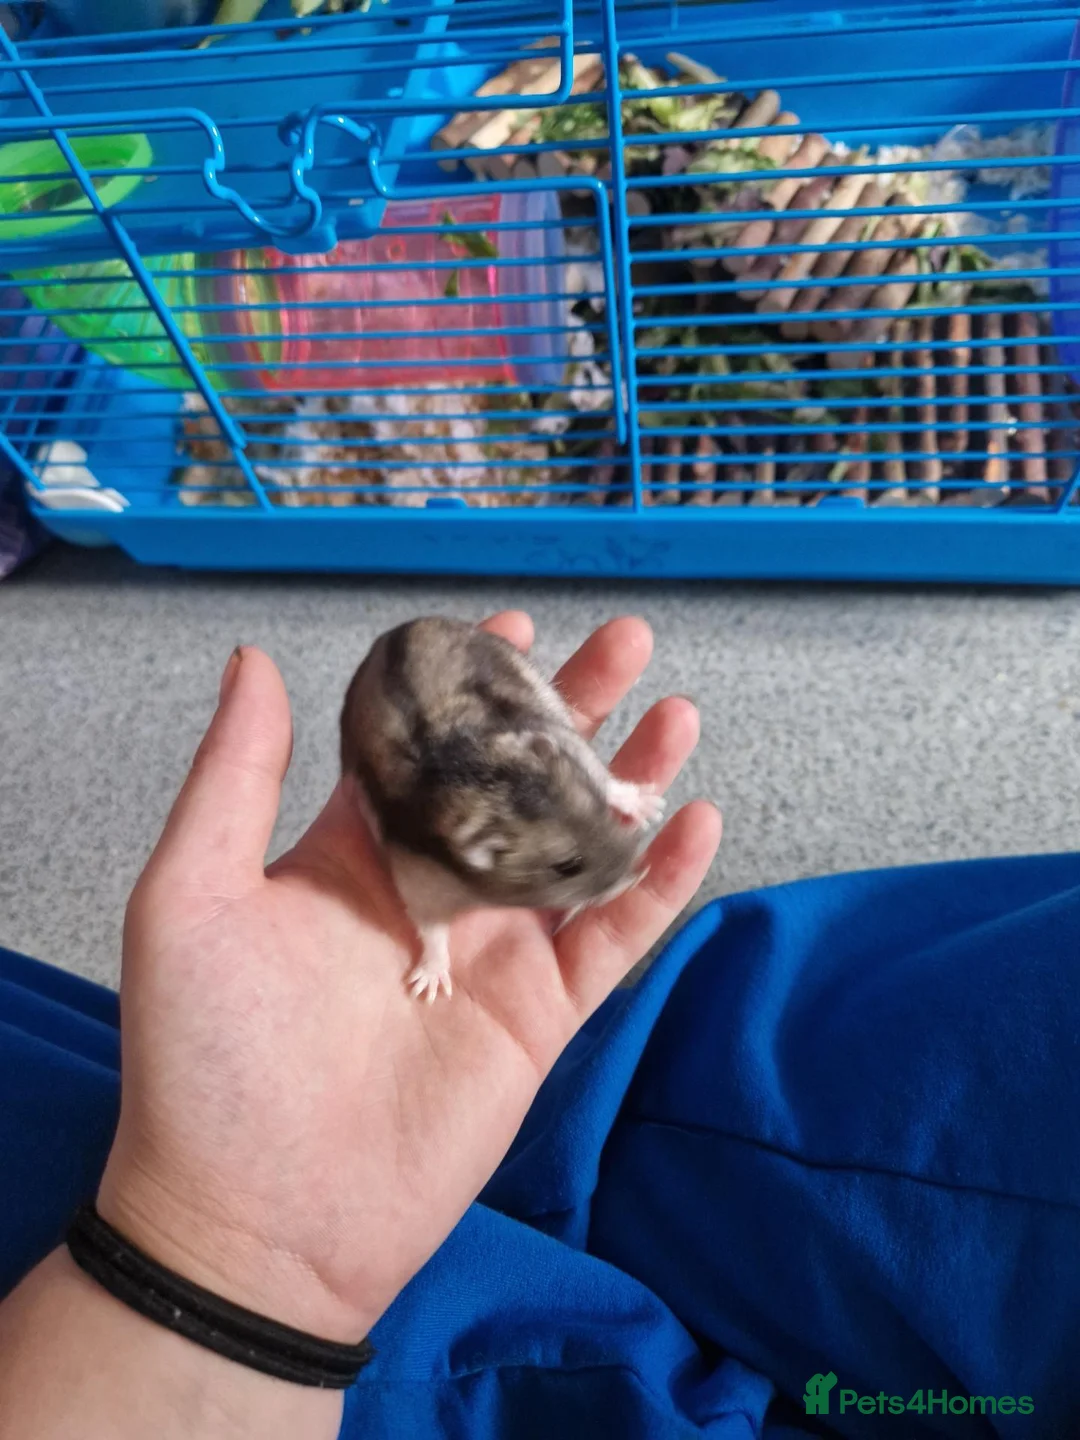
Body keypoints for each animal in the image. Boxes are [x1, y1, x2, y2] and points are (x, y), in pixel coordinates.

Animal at [340, 617, 664, 1002]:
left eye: (600, 809)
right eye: (568, 866)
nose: (640, 874)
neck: (480, 783)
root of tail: (392, 631)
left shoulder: (563, 741)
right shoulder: (418, 881)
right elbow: (431, 929)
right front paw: (428, 987)